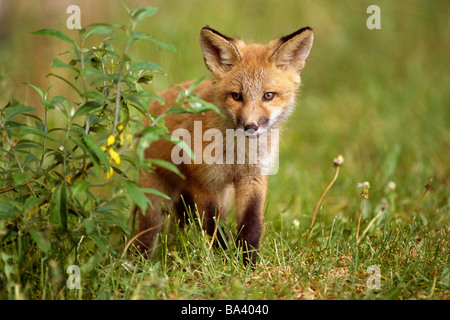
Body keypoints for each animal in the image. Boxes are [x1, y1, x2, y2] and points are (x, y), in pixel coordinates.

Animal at [136, 25, 312, 264]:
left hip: (224, 198)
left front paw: (248, 262)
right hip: (153, 200)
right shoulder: (204, 181)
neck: (238, 154)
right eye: (236, 96)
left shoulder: (253, 177)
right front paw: (222, 261)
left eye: (268, 95)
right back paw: (141, 262)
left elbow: (251, 224)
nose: (250, 126)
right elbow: (212, 227)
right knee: (148, 234)